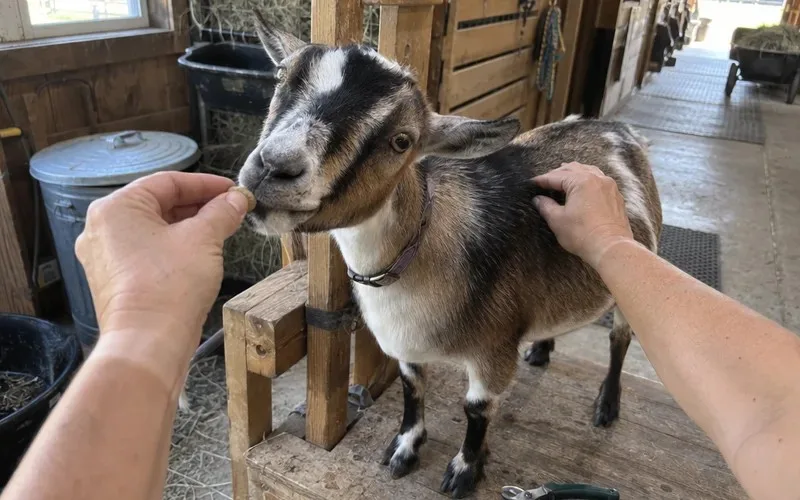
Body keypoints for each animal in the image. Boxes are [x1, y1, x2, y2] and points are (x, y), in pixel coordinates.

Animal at [239, 16, 662, 498]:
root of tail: (617, 129)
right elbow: (412, 388)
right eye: (280, 79)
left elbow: (476, 410)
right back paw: (541, 349)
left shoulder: (493, 355)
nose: (275, 168)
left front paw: (464, 470)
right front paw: (404, 448)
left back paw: (607, 405)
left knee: (621, 339)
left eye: (402, 141)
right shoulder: (405, 347)